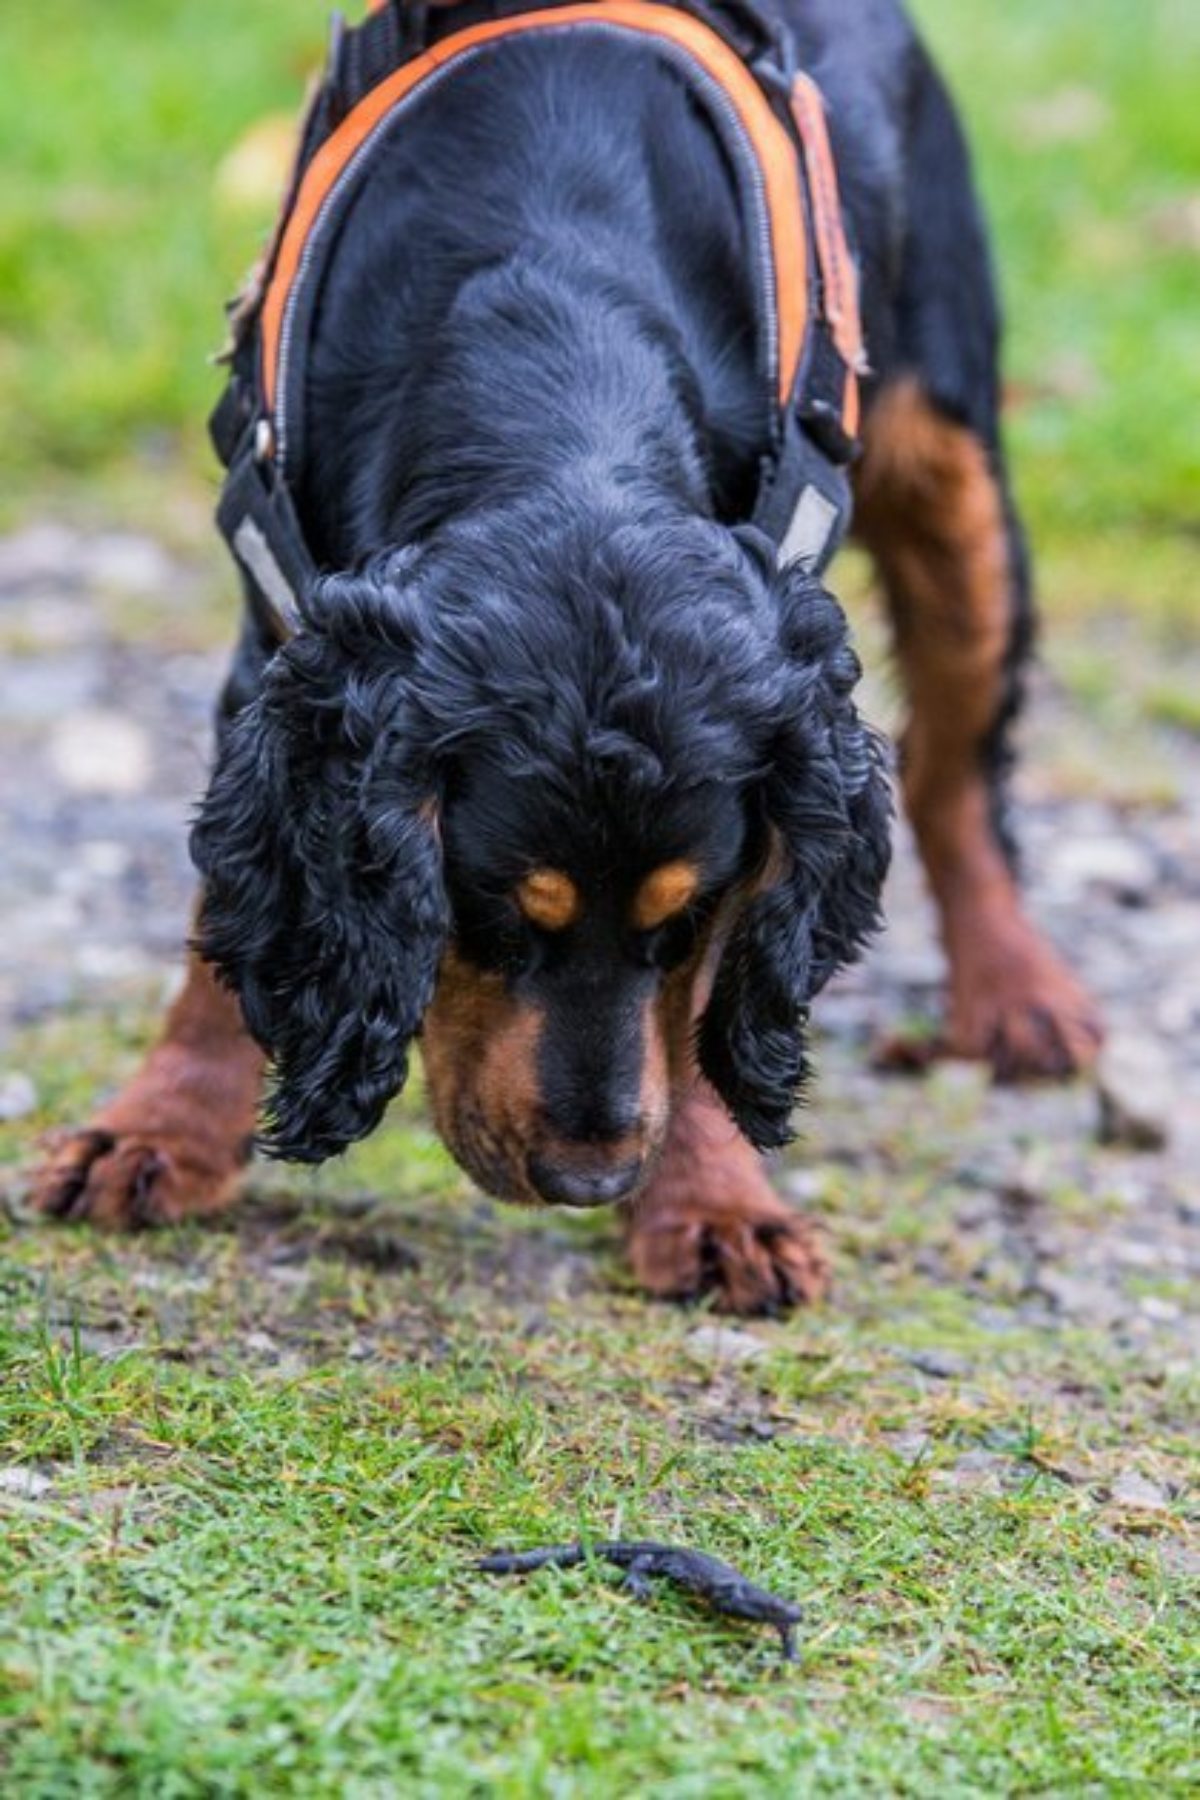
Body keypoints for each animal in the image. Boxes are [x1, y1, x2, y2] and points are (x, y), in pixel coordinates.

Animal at [32, 0, 1101, 1310]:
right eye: (490, 916)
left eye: (686, 918)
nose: (592, 1181)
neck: (555, 368)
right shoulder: (285, 634)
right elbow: (216, 926)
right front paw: (159, 1129)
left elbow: (699, 1011)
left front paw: (713, 1204)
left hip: (950, 459)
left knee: (958, 760)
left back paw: (1017, 994)